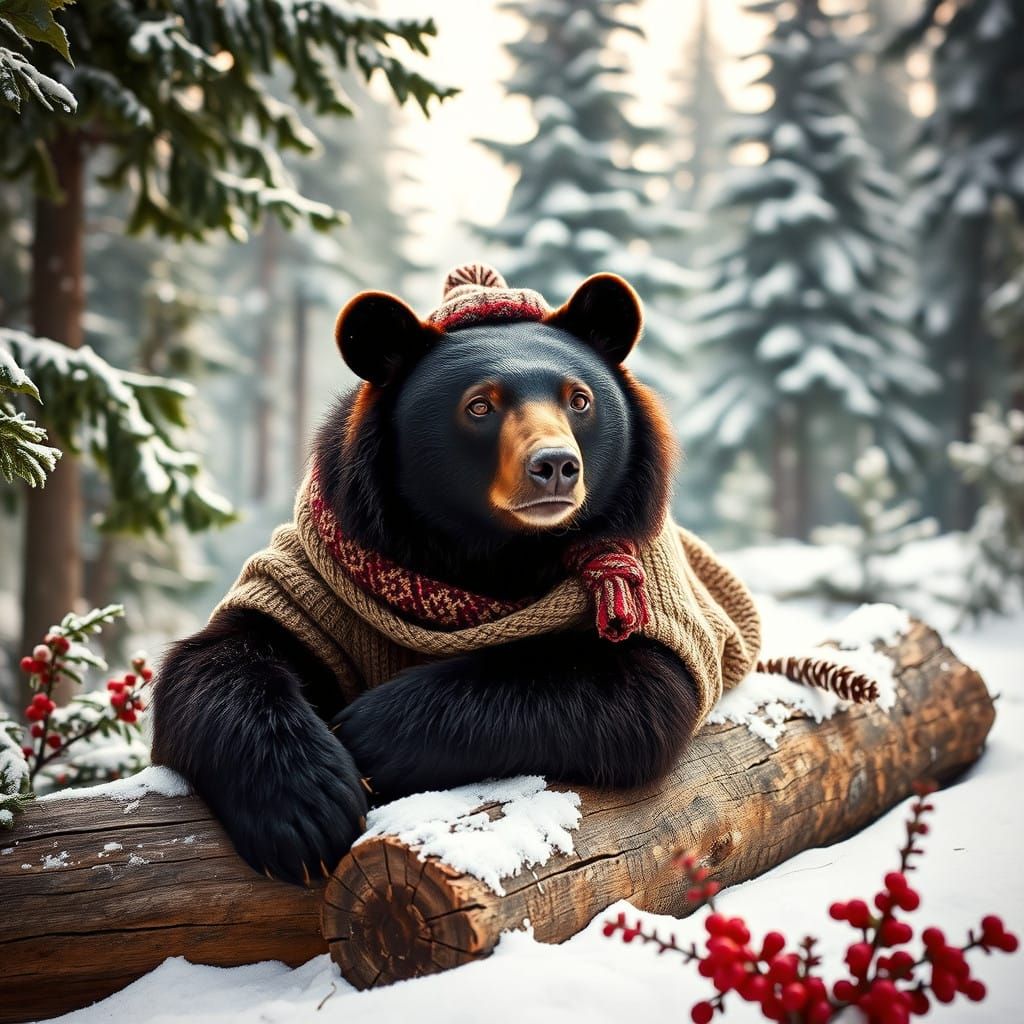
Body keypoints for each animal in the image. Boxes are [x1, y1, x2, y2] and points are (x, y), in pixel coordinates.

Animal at [151, 264, 761, 885]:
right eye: (479, 407)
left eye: (580, 400)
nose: (556, 465)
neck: (490, 549)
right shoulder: (319, 579)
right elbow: (219, 658)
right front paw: (307, 814)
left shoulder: (650, 592)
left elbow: (640, 689)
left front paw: (362, 734)